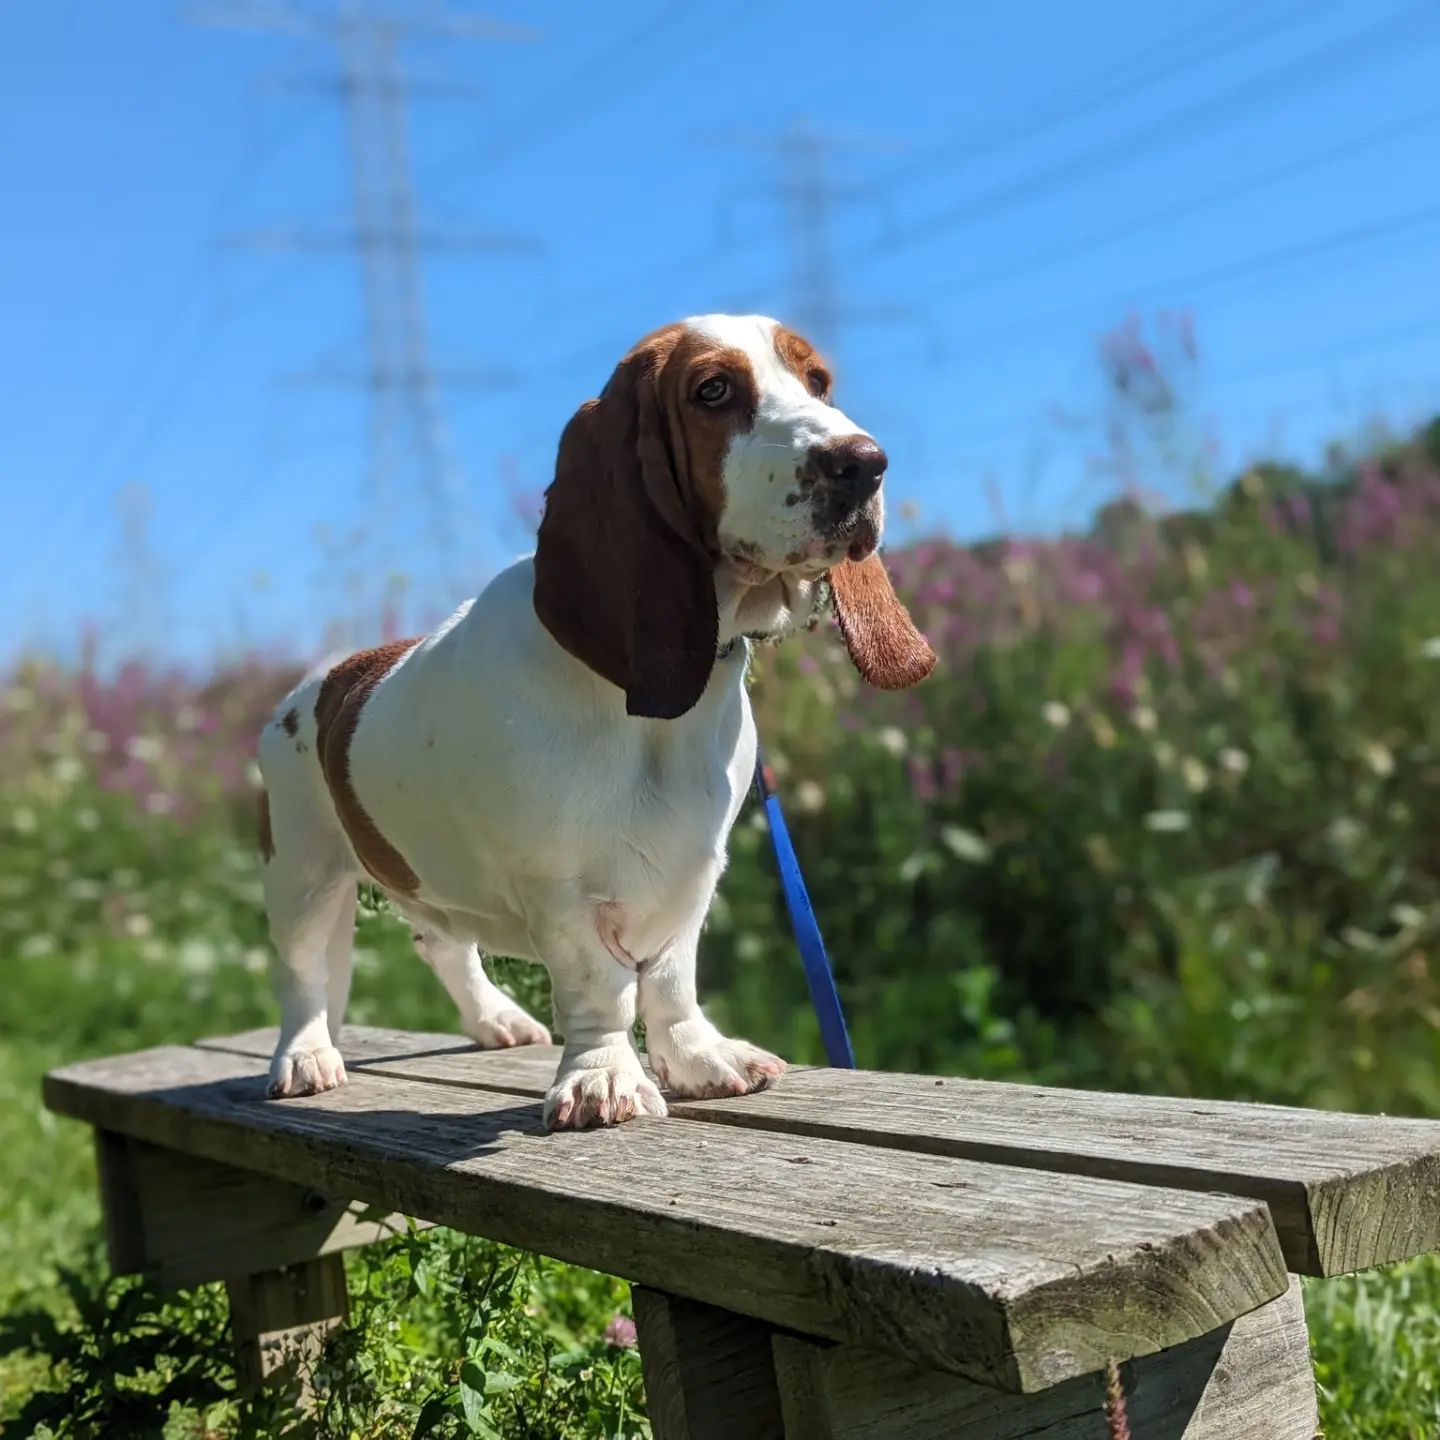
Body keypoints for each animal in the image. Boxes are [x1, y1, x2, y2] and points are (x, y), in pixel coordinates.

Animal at [257, 312, 933, 1123]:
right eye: (713, 391)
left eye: (818, 381)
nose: (863, 464)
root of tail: (315, 685)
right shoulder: (563, 889)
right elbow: (602, 990)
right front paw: (602, 1077)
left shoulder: (692, 874)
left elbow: (671, 978)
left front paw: (699, 1057)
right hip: (302, 874)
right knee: (303, 979)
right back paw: (305, 1058)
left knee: (443, 943)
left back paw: (495, 1020)